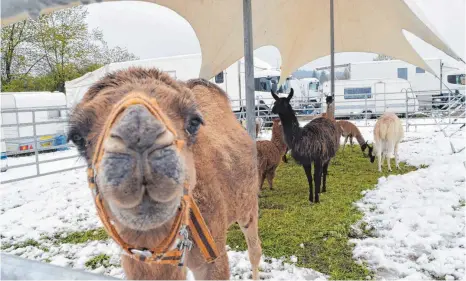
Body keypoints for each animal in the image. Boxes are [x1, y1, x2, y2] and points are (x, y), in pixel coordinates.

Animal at [68, 67, 262, 278]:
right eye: (76, 137)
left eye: (194, 122)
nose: (139, 131)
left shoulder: (213, 254)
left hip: (248, 204)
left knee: (254, 250)